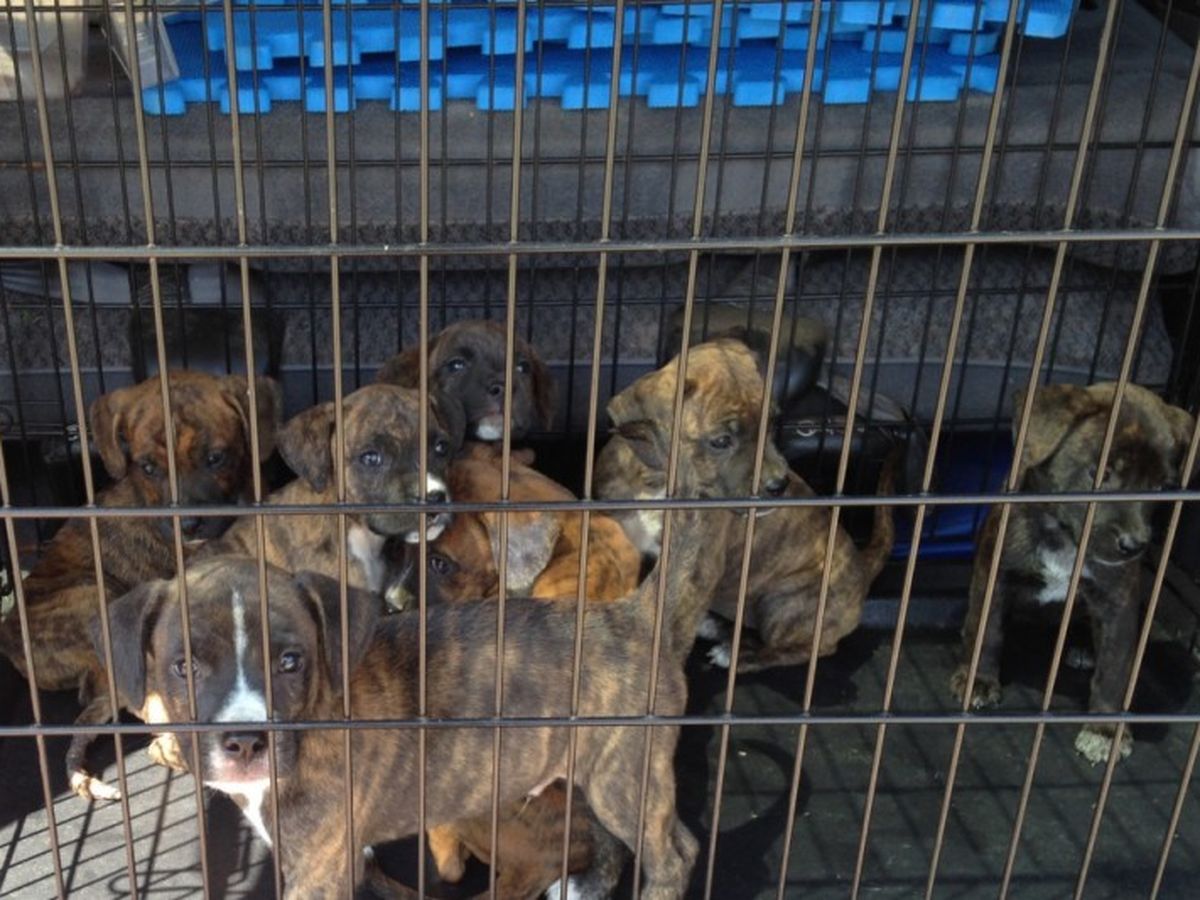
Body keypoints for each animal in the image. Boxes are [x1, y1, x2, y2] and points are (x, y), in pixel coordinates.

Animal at [595, 341, 896, 672]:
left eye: (773, 423)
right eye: (721, 441)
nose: (779, 485)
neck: (657, 480)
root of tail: (862, 566)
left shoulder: (697, 567)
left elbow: (673, 619)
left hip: (784, 602)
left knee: (808, 648)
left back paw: (738, 657)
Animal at [951, 382, 1194, 764]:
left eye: (1159, 487)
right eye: (1100, 472)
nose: (1134, 545)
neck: (1065, 537)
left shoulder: (1117, 602)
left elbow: (1115, 668)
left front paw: (1106, 730)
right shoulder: (995, 574)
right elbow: (986, 630)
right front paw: (978, 681)